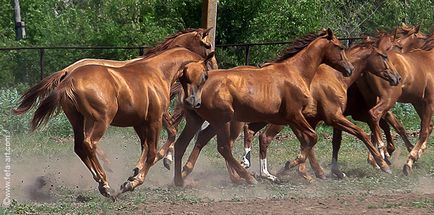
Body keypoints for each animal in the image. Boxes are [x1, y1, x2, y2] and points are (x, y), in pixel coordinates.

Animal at [13, 43, 215, 200]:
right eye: (205, 75)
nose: (195, 102)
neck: (157, 73)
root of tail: (69, 78)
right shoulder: (154, 120)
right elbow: (152, 151)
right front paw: (132, 183)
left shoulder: (140, 122)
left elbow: (151, 145)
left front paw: (136, 171)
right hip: (100, 120)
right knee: (89, 143)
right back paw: (106, 184)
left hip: (77, 120)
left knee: (80, 147)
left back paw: (102, 182)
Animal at [171, 29, 362, 186]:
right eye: (339, 47)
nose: (350, 69)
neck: (296, 72)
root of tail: (194, 85)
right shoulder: (294, 115)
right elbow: (312, 138)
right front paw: (290, 165)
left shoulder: (289, 119)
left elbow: (305, 140)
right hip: (222, 121)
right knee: (223, 147)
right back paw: (247, 177)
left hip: (198, 121)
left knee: (184, 144)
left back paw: (181, 178)